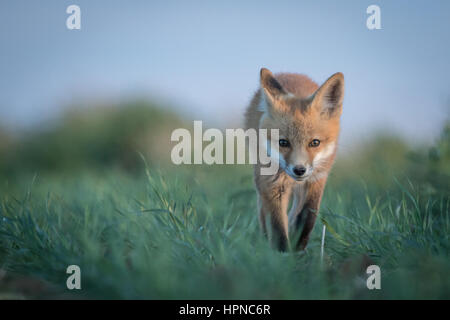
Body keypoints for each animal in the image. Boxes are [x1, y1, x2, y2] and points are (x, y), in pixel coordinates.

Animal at [244, 69, 342, 251]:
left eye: (315, 143)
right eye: (283, 142)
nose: (299, 170)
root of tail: (290, 73)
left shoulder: (316, 180)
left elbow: (307, 217)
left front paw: (298, 249)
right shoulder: (272, 184)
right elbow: (277, 227)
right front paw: (282, 254)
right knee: (262, 212)